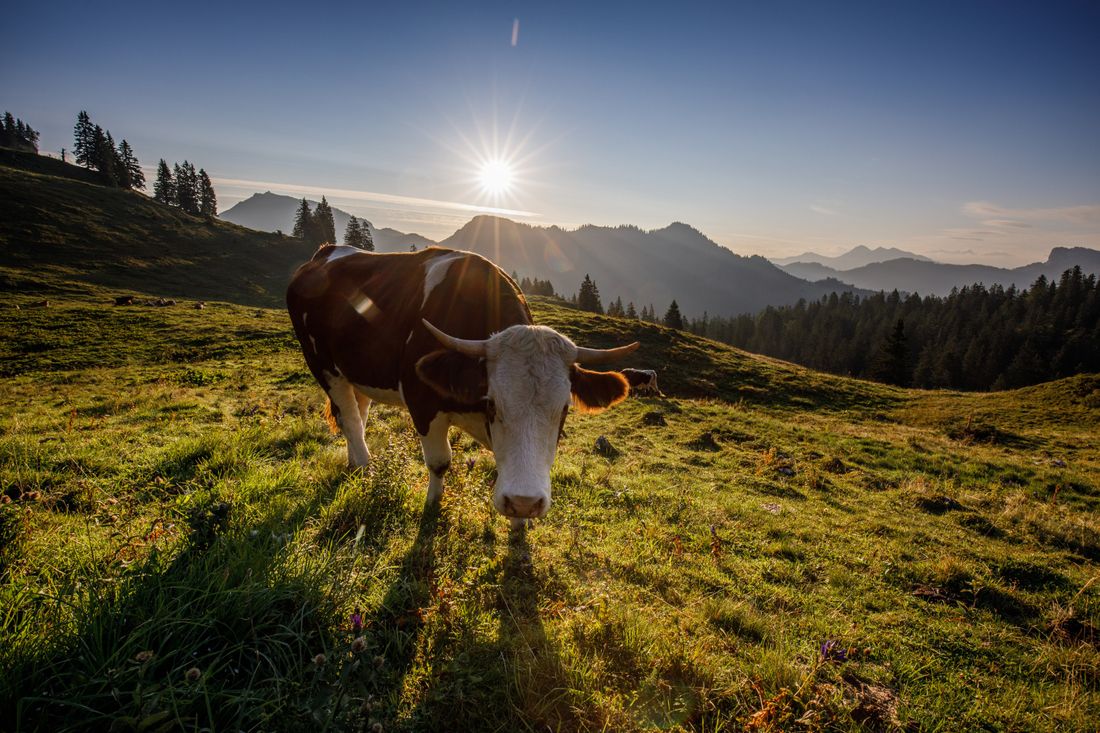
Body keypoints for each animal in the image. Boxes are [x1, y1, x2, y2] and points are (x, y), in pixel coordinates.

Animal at [286, 245, 639, 524]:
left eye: (564, 409)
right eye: (493, 403)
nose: (525, 502)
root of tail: (325, 252)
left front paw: (519, 524)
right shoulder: (422, 403)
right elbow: (440, 462)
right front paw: (432, 506)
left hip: (356, 372)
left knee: (356, 415)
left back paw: (352, 462)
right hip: (322, 365)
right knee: (350, 419)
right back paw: (364, 468)